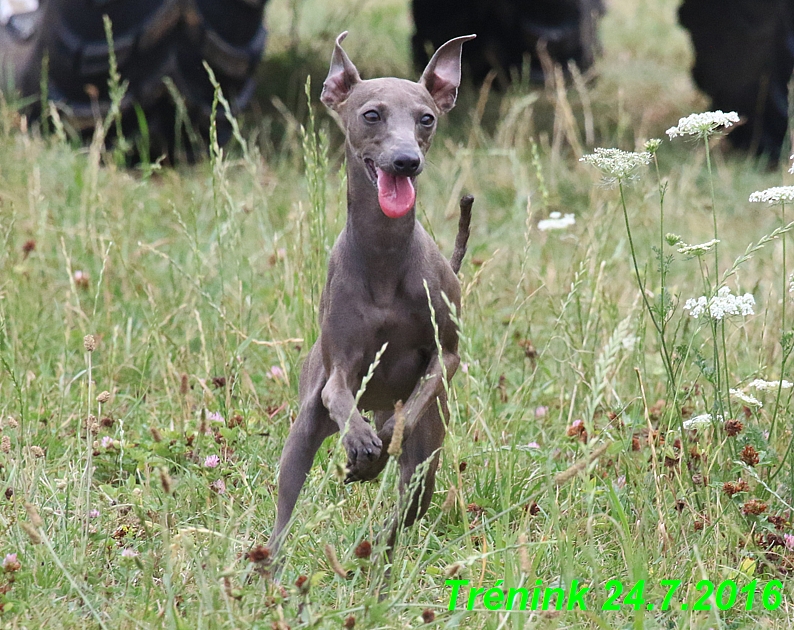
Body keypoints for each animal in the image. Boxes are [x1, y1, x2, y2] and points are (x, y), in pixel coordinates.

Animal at [270, 32, 474, 560]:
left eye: (426, 118)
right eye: (371, 114)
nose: (406, 161)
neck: (384, 256)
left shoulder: (446, 356)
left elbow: (413, 404)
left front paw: (373, 450)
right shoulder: (337, 367)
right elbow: (338, 392)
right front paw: (361, 441)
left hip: (426, 465)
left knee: (403, 513)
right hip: (302, 434)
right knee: (284, 508)